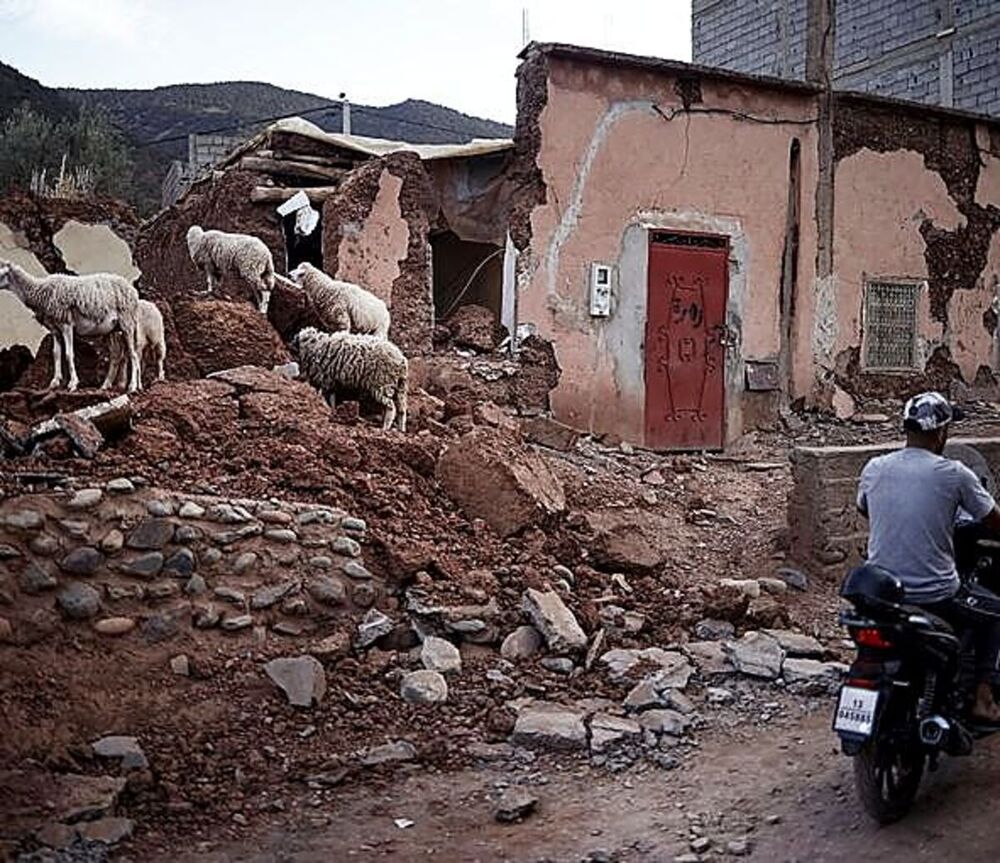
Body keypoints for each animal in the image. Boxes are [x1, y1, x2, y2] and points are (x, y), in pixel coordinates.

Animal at [0, 258, 141, 390]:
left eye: (1, 274)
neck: (41, 291)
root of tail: (132, 290)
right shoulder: (55, 329)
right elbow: (56, 354)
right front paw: (54, 382)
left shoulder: (66, 324)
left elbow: (68, 354)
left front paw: (73, 383)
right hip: (111, 329)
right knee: (117, 355)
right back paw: (106, 385)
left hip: (127, 323)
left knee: (133, 355)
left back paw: (132, 386)